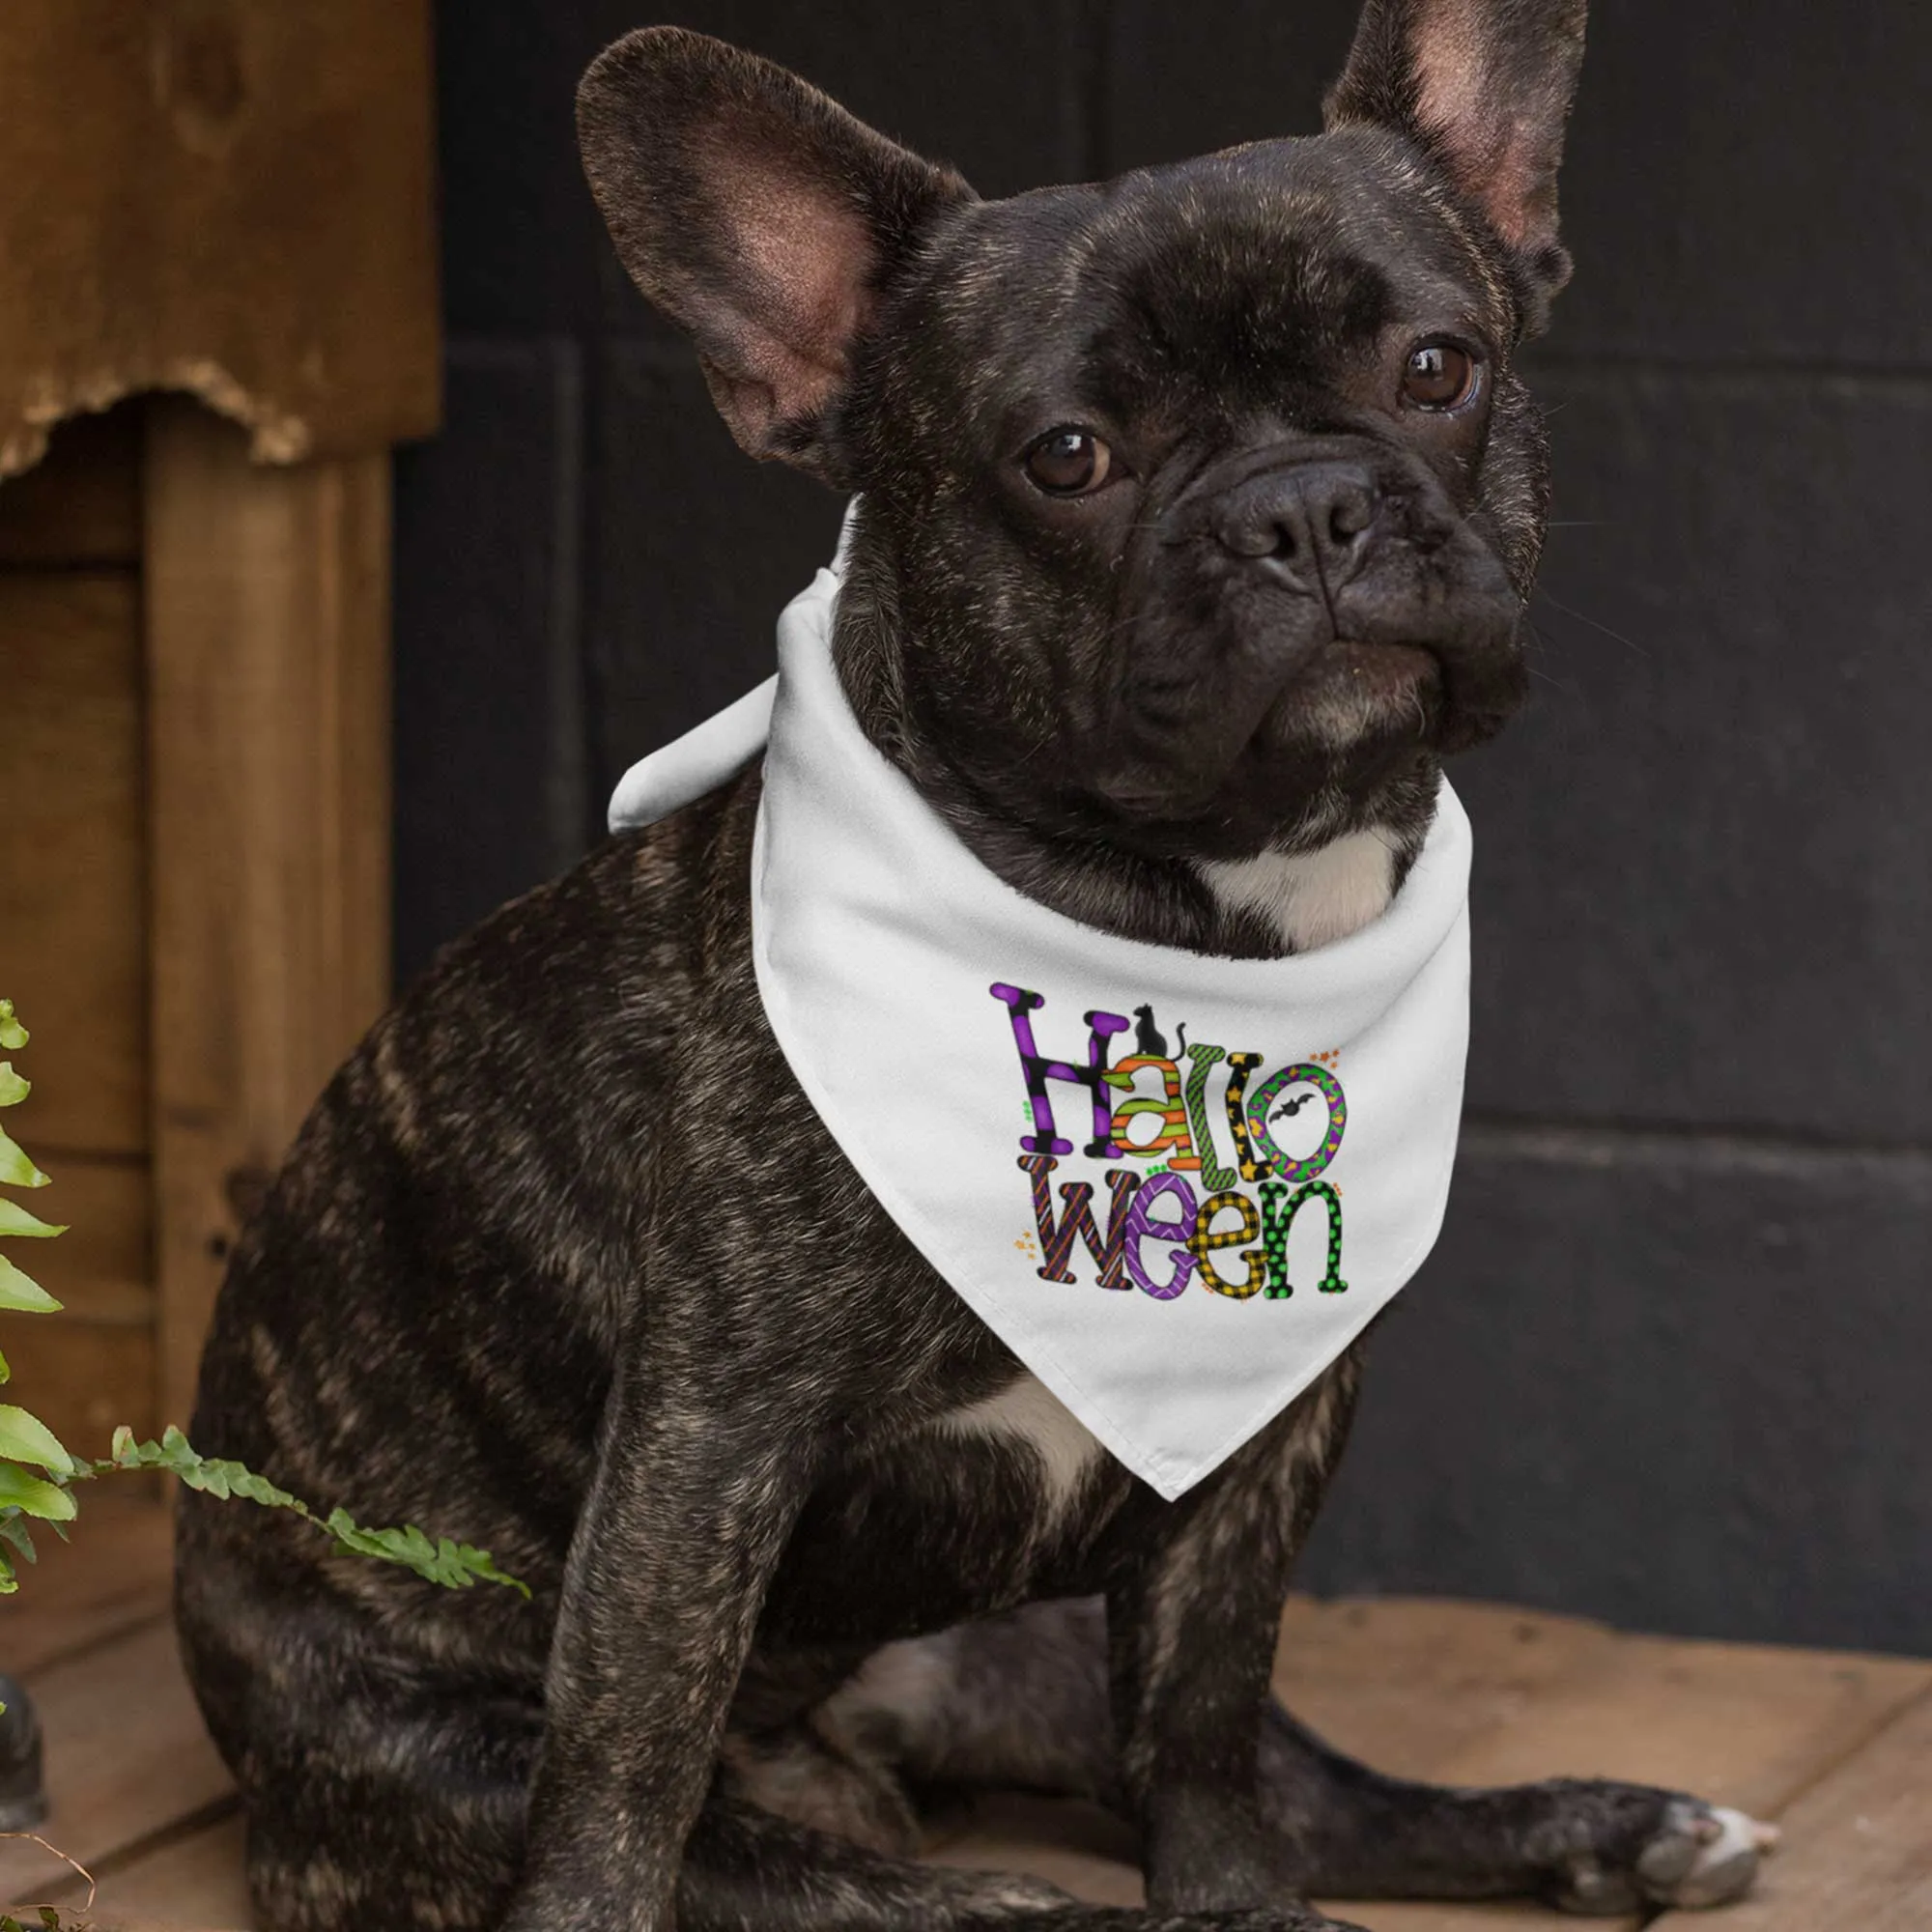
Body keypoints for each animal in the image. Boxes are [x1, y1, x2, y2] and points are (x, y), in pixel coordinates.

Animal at [174, 3, 1770, 1932]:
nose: (1307, 506)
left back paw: (1611, 1826)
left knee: (1296, 1789)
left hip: (1051, 1638)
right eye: (1066, 458)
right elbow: (626, 1769)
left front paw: (1231, 1898)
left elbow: (1210, 1719)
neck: (1178, 916)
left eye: (1438, 366)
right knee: (843, 1878)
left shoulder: (1265, 1430)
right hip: (450, 1762)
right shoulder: (707, 1440)